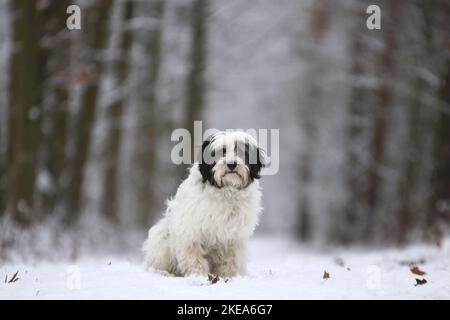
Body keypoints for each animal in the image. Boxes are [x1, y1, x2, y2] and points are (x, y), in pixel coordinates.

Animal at [142, 131, 266, 276]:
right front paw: (198, 275)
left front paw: (227, 276)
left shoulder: (234, 237)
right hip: (161, 240)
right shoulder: (190, 231)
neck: (226, 191)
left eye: (239, 151)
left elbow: (231, 259)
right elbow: (194, 255)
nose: (231, 164)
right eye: (221, 151)